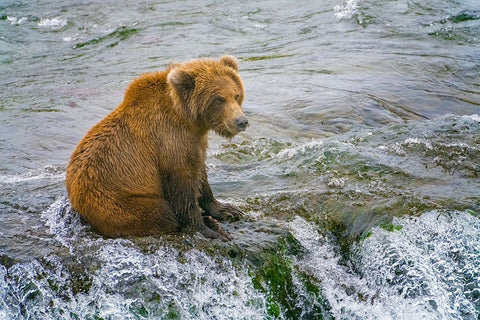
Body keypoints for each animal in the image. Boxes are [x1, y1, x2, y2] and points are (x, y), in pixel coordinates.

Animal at [64, 55, 248, 240]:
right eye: (219, 99)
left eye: (237, 95)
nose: (241, 121)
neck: (188, 119)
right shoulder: (169, 141)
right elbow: (183, 186)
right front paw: (208, 230)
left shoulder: (195, 141)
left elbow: (200, 173)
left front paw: (227, 209)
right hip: (118, 204)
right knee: (161, 215)